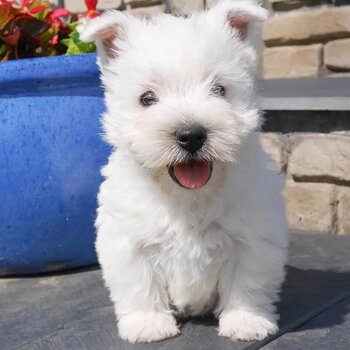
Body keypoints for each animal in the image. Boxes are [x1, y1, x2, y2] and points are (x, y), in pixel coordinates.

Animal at [80, 0, 288, 344]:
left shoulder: (253, 237)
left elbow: (247, 282)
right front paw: (148, 325)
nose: (191, 135)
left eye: (219, 89)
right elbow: (139, 284)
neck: (188, 197)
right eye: (146, 99)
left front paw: (246, 321)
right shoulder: (129, 241)